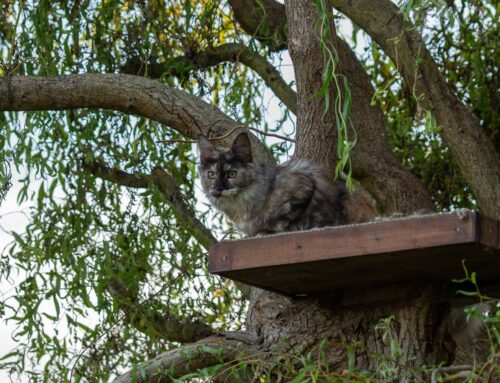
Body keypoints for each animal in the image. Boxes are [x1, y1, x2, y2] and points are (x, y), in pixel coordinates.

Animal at [197, 131, 374, 237]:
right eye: (211, 175)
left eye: (231, 174)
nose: (217, 190)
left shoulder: (304, 185)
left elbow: (290, 220)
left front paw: (269, 230)